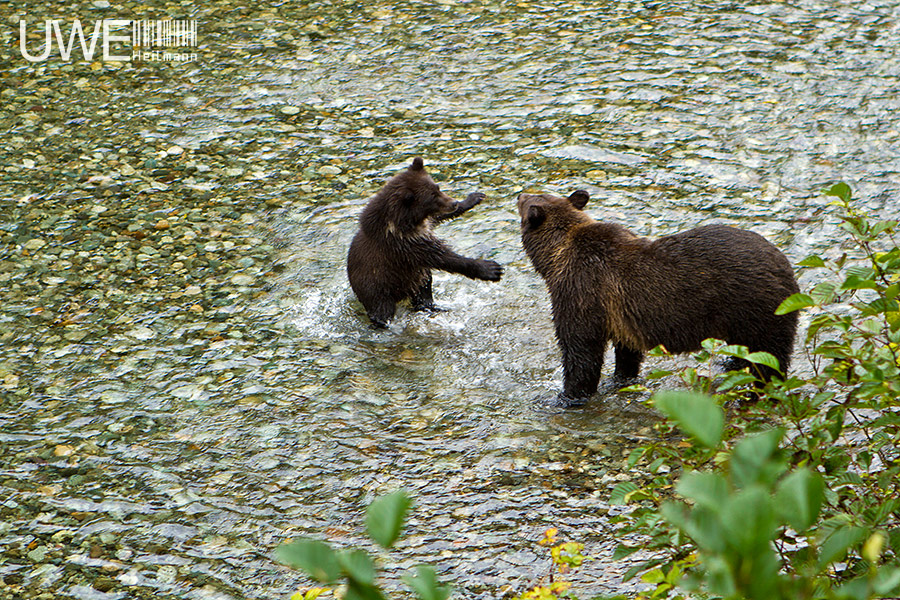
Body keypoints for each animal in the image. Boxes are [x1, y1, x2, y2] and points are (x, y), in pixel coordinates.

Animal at [348, 157, 502, 326]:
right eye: (432, 197)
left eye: (437, 187)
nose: (453, 202)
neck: (405, 223)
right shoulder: (403, 244)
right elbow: (443, 257)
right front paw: (490, 268)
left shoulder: (423, 227)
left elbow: (437, 218)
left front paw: (473, 198)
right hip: (378, 289)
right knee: (383, 310)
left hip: (412, 280)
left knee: (424, 286)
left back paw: (433, 307)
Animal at [516, 190, 800, 406]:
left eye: (527, 200)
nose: (520, 193)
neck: (556, 257)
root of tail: (787, 267)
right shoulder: (621, 313)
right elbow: (626, 352)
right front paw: (620, 378)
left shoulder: (582, 291)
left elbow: (581, 351)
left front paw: (565, 397)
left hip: (756, 308)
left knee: (767, 360)